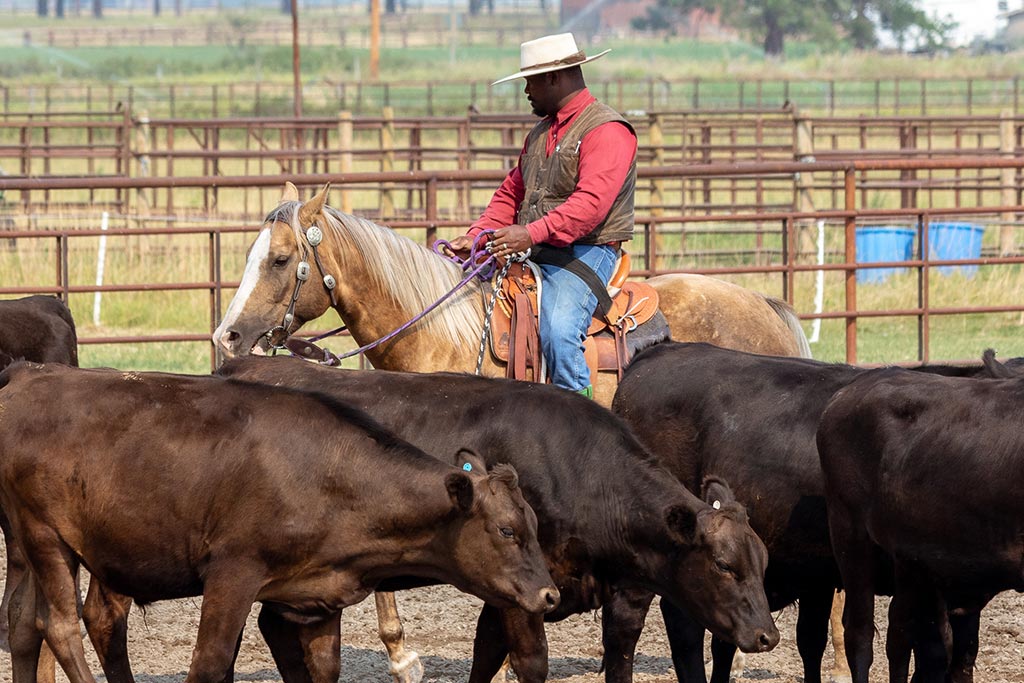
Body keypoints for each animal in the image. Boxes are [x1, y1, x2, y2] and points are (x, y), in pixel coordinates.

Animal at [0, 366, 561, 683]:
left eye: (533, 525)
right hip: (47, 537)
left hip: (28, 545)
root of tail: (25, 380)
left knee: (24, 623)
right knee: (60, 627)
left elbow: (323, 668)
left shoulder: (319, 596)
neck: (329, 475)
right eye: (507, 530)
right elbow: (210, 663)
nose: (550, 595)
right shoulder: (233, 573)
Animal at [207, 184, 839, 683]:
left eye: (281, 259)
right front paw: (402, 655)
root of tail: (764, 301)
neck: (446, 334)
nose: (227, 337)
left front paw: (413, 657)